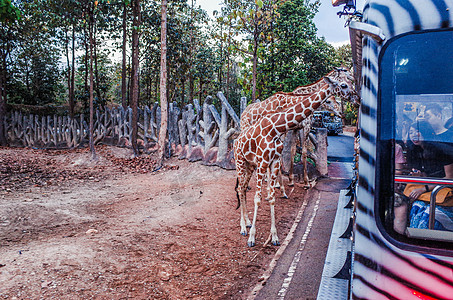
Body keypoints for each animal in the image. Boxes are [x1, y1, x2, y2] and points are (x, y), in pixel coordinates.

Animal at [233, 75, 354, 246]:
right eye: (344, 85)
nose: (354, 96)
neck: (275, 127)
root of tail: (236, 141)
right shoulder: (263, 161)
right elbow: (257, 198)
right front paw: (252, 238)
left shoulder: (273, 161)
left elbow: (271, 197)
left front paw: (275, 237)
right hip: (240, 162)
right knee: (240, 188)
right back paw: (244, 228)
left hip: (250, 165)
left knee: (242, 188)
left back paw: (247, 222)